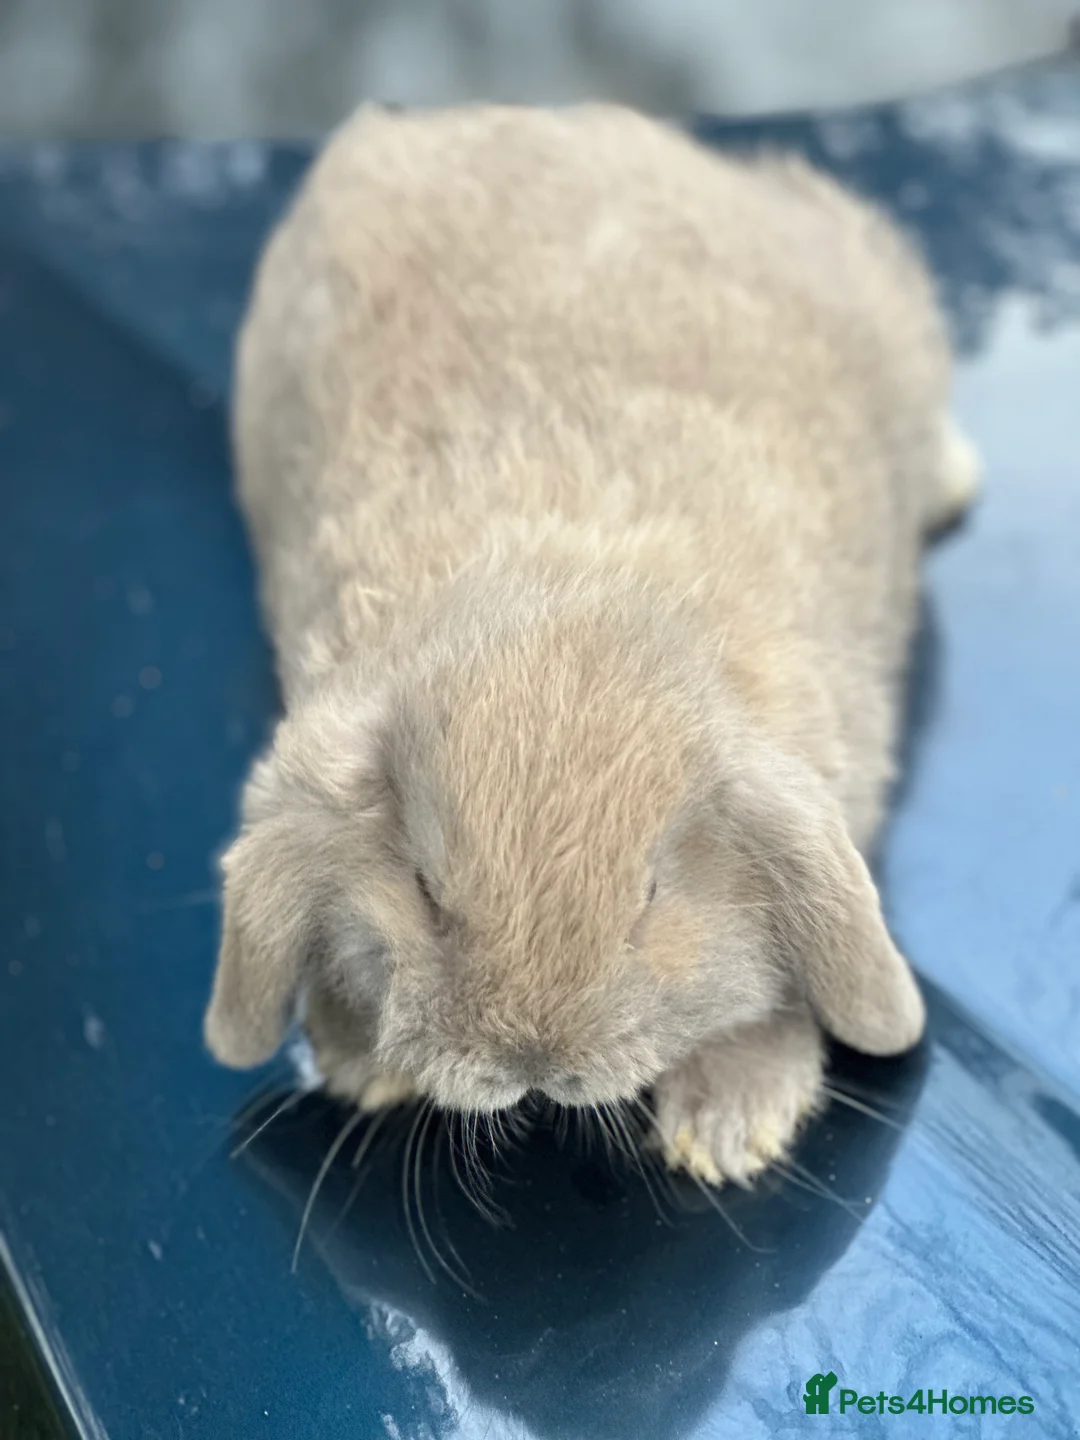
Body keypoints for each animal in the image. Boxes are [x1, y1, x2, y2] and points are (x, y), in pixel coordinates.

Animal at [204, 102, 979, 1187]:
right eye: (425, 891)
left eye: (650, 894)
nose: (532, 1062)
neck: (572, 578)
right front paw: (359, 1060)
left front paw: (728, 1129)